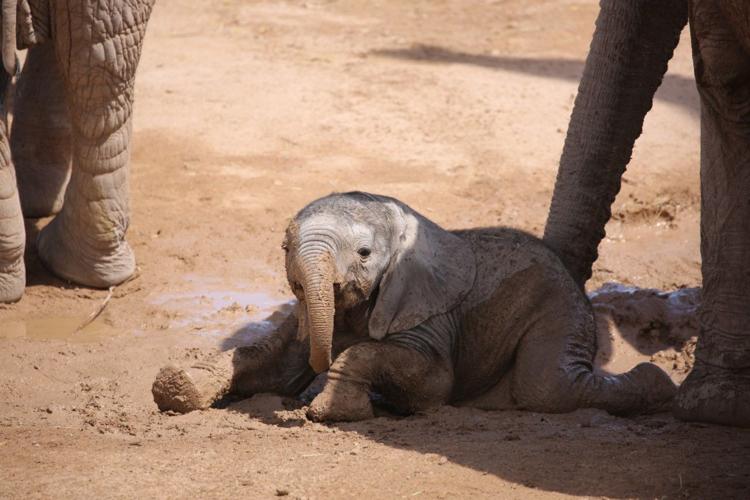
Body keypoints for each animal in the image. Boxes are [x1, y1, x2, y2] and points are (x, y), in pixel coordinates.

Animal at [152, 192, 676, 421]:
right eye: (284, 246)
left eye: (365, 254)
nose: (289, 412)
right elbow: (269, 365)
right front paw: (176, 387)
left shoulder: (431, 315)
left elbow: (429, 380)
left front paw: (333, 412)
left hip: (558, 308)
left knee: (547, 387)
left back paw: (659, 387)